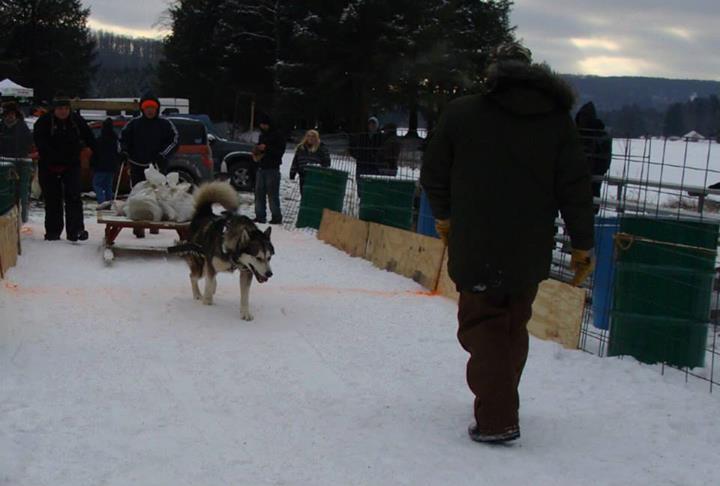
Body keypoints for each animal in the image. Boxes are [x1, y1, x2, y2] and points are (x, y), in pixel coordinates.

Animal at [169, 181, 276, 318]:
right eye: (258, 257)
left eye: (269, 257)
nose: (269, 274)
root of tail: (204, 213)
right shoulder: (212, 267)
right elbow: (208, 287)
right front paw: (207, 303)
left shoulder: (247, 271)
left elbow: (245, 295)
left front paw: (245, 313)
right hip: (200, 267)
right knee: (193, 276)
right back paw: (198, 294)